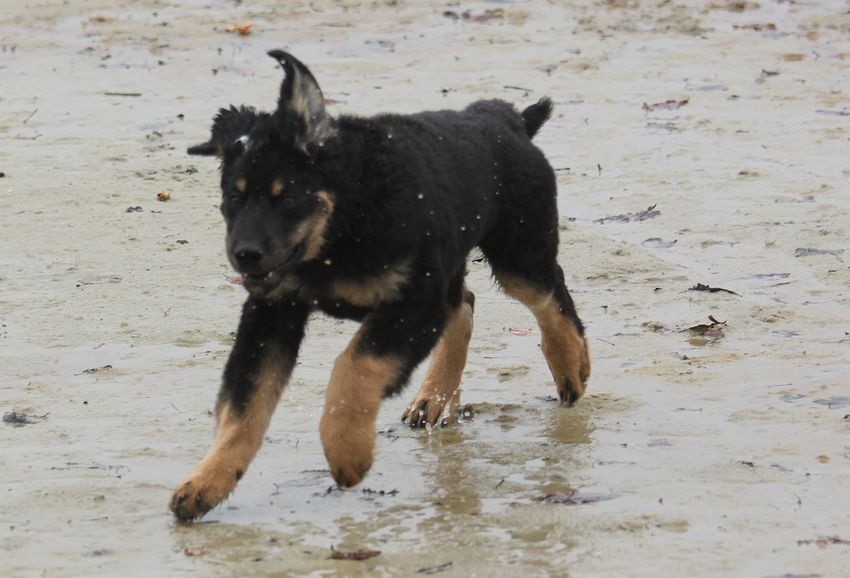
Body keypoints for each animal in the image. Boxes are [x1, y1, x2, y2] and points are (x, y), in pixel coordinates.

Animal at [170, 50, 590, 521]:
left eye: (287, 197)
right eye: (233, 197)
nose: (244, 256)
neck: (345, 226)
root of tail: (506, 118)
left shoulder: (412, 302)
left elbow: (354, 365)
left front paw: (347, 451)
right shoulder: (271, 313)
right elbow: (244, 406)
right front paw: (206, 482)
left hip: (518, 254)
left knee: (550, 297)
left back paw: (571, 366)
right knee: (463, 305)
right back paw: (434, 398)